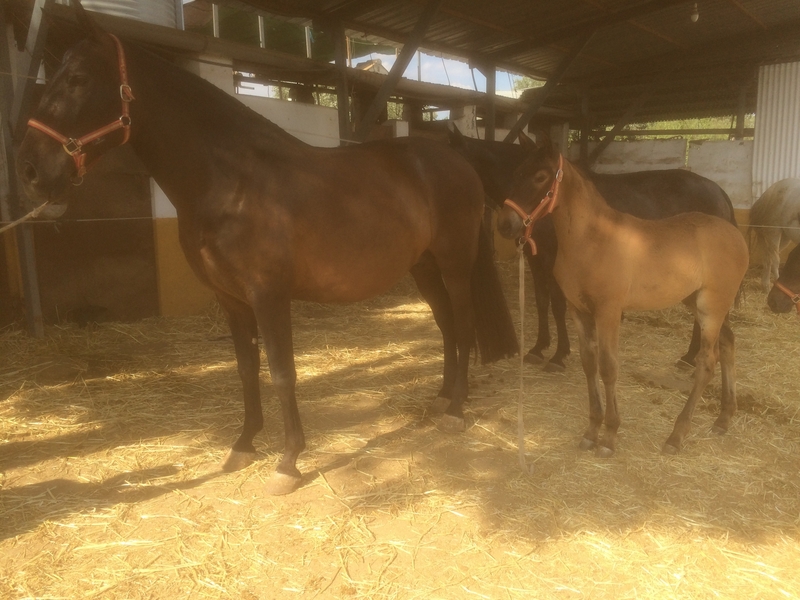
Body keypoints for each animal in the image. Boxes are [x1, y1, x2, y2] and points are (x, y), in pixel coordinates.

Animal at [15, 3, 518, 495]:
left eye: (78, 79)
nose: (31, 170)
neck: (231, 182)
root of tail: (454, 158)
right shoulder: (232, 299)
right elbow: (245, 370)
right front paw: (243, 445)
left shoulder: (268, 296)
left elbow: (281, 371)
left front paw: (288, 461)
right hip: (424, 267)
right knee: (448, 327)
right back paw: (442, 399)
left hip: (453, 265)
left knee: (464, 324)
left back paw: (456, 409)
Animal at [448, 126, 739, 372]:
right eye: (518, 173)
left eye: (540, 177)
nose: (506, 225)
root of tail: (718, 191)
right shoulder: (536, 259)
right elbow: (542, 302)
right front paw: (539, 348)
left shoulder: (556, 261)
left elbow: (557, 305)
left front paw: (559, 355)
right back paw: (691, 357)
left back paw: (691, 358)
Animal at [498, 136, 748, 456]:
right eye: (517, 172)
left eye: (540, 177)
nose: (505, 224)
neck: (591, 239)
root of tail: (733, 232)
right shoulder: (579, 311)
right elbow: (589, 364)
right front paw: (592, 431)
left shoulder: (608, 311)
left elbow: (608, 367)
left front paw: (609, 436)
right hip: (701, 303)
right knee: (728, 342)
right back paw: (724, 418)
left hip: (711, 307)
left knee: (707, 362)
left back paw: (676, 435)